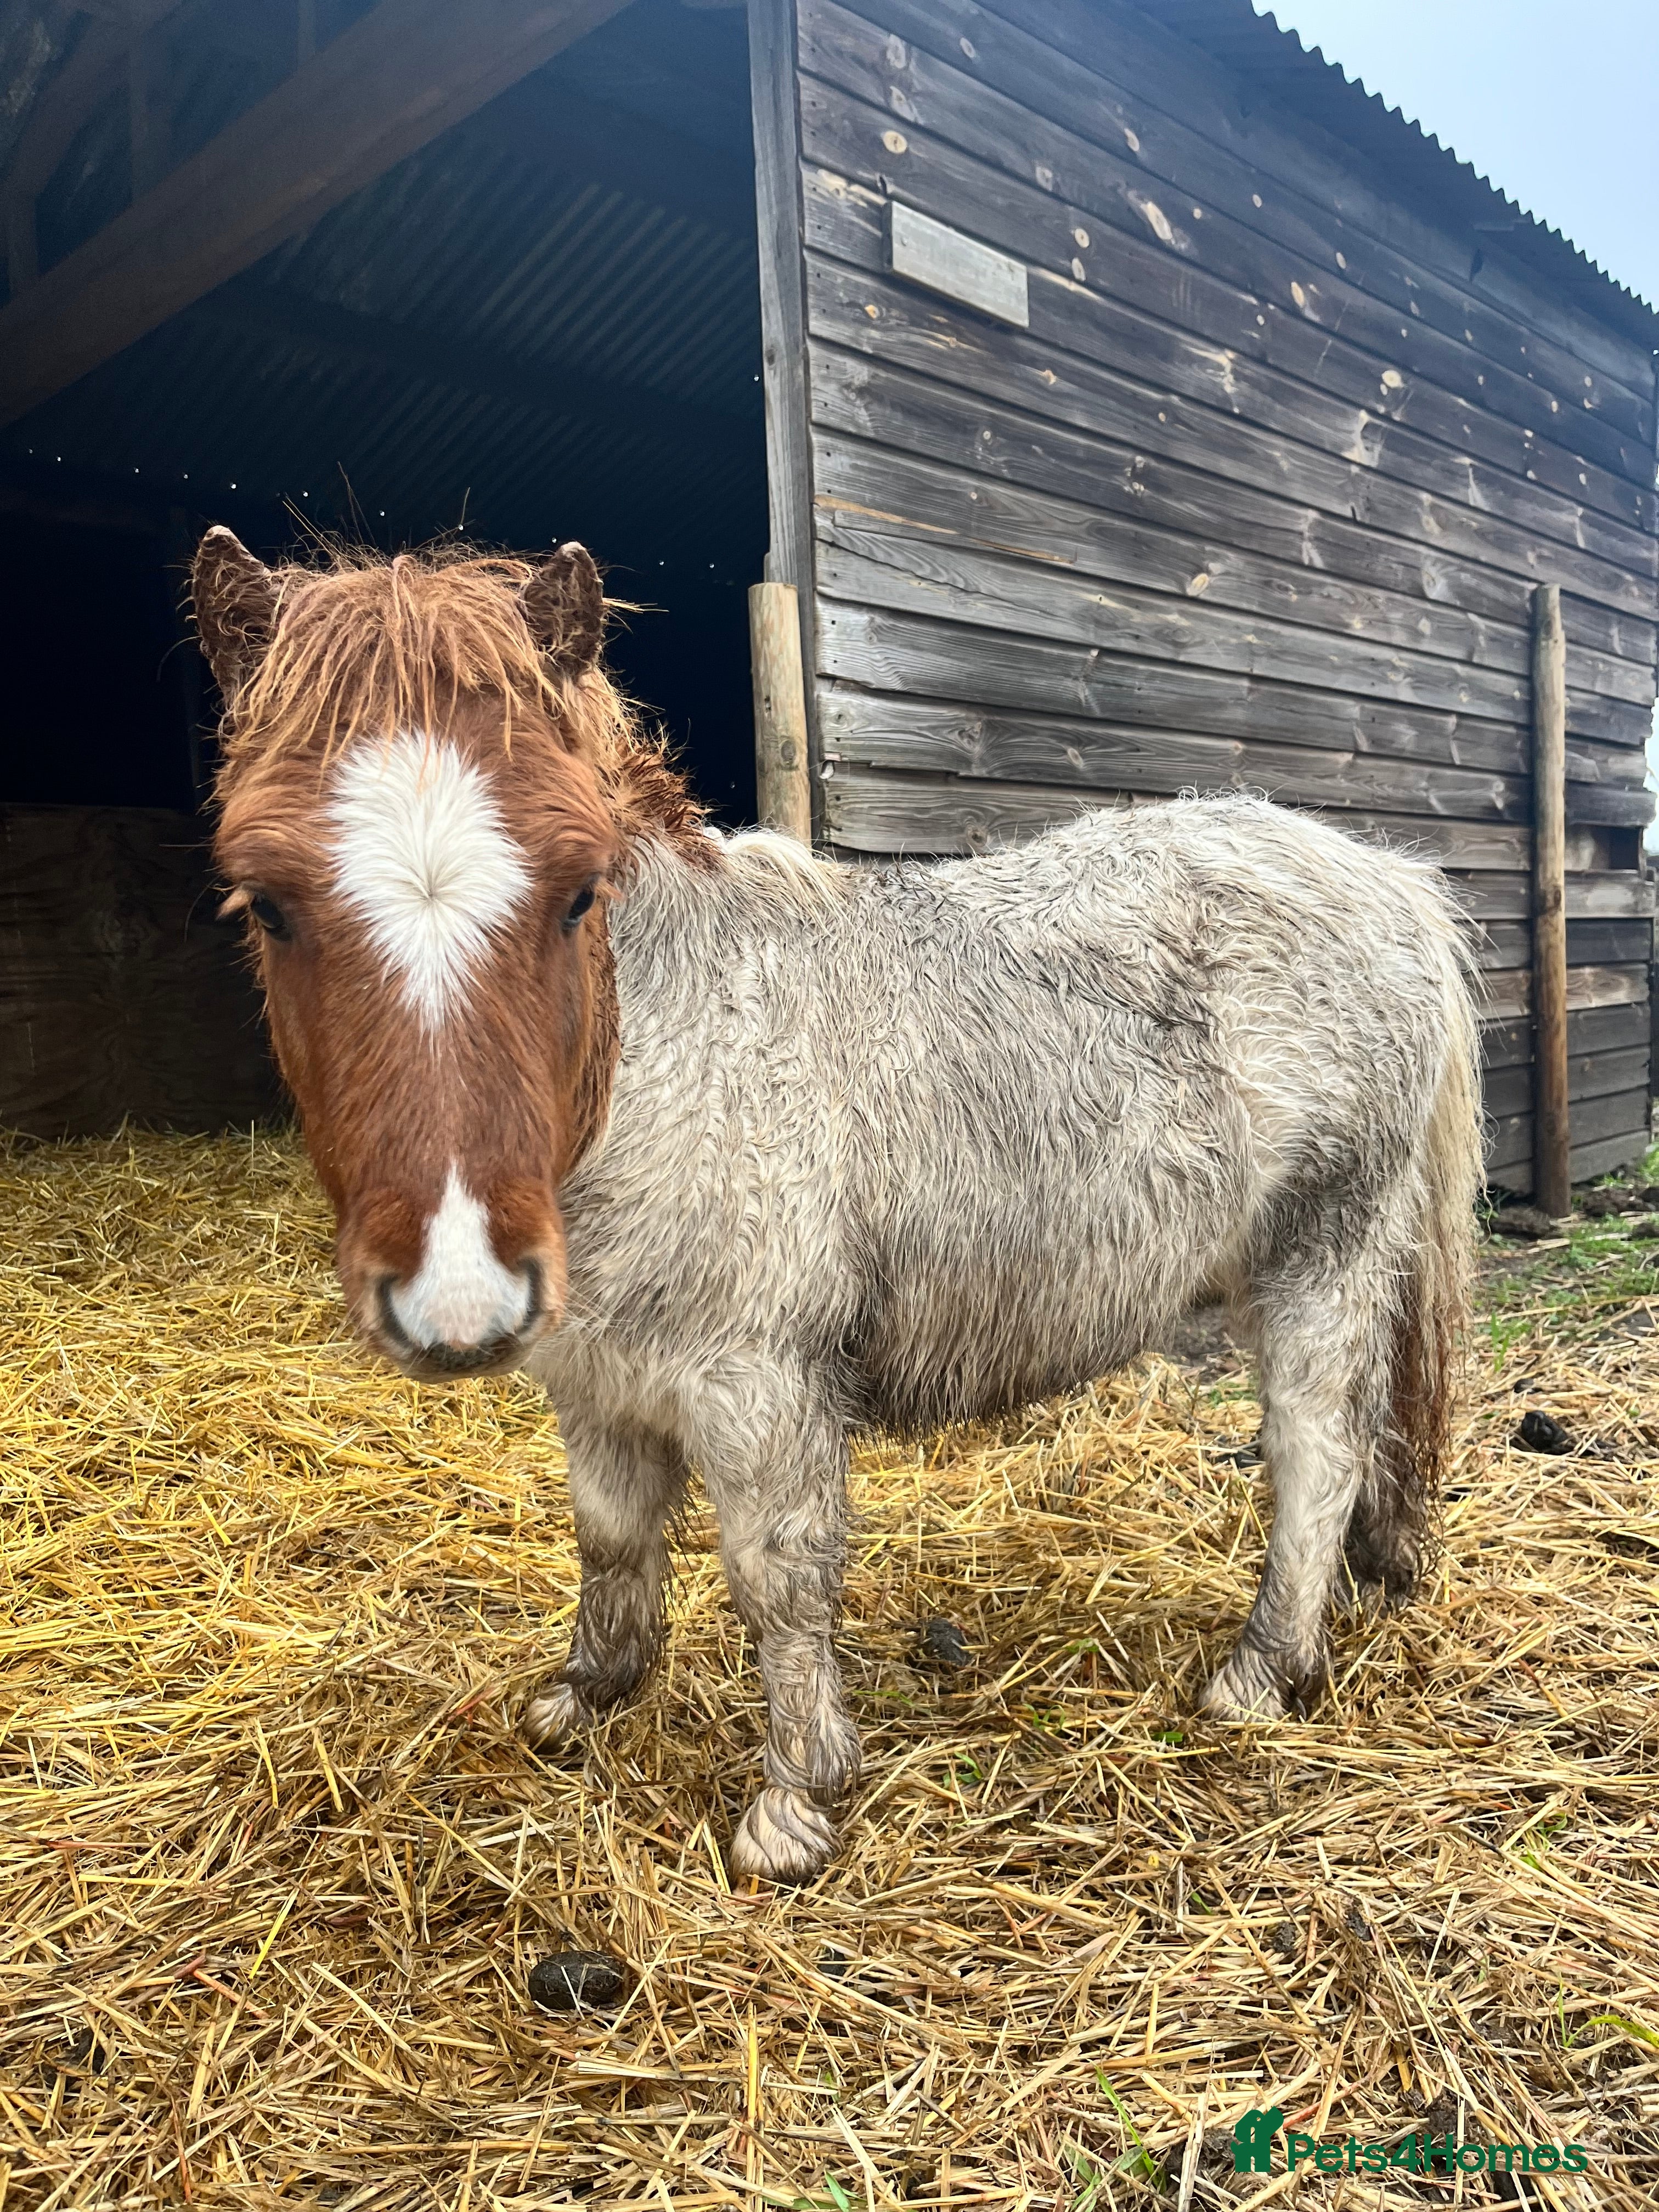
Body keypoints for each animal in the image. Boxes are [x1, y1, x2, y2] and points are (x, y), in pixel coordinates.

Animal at [196, 530, 1483, 1883]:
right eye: (265, 903)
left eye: (576, 893)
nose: (457, 1293)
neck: (671, 1061)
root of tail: (1385, 879)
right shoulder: (595, 1385)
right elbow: (610, 1538)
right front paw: (589, 1693)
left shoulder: (759, 1390)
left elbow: (779, 1580)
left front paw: (793, 1803)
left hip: (1320, 1257)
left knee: (1317, 1450)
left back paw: (1259, 1671)